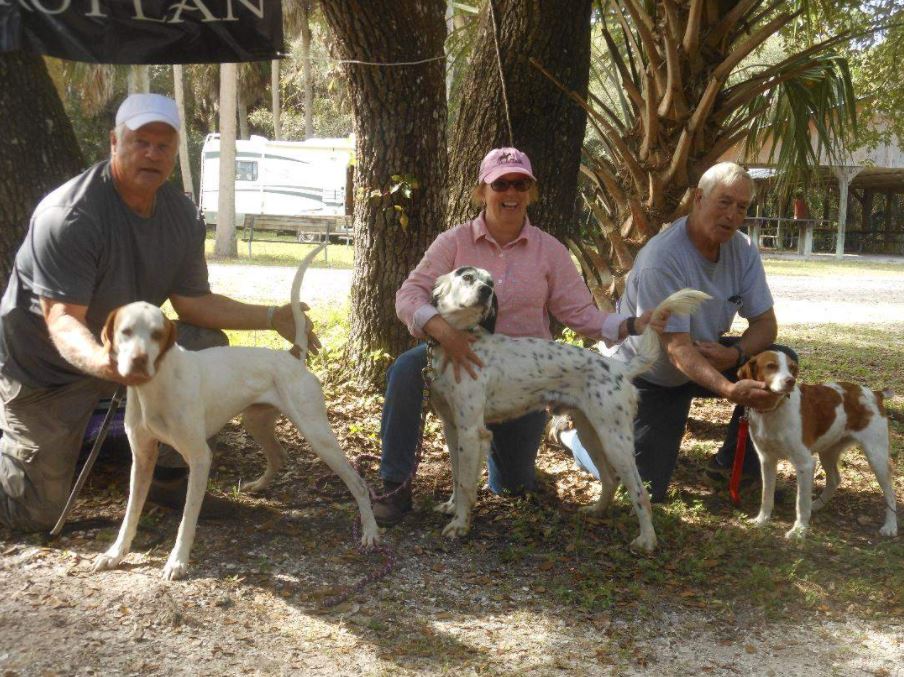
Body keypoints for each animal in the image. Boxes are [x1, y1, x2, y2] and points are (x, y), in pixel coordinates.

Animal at [94, 246, 382, 580]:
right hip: (255, 422)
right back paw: (258, 486)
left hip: (317, 435)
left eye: (156, 333)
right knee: (279, 456)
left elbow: (187, 520)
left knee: (358, 483)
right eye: (124, 331)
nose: (138, 361)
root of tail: (291, 355)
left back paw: (370, 532)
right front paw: (115, 554)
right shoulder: (141, 458)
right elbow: (130, 515)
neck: (156, 387)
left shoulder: (200, 458)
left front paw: (177, 561)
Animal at [428, 264, 708, 548]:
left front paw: (460, 525)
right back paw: (597, 510)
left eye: (491, 283)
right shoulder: (452, 428)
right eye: (467, 277)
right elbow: (456, 475)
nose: (486, 291)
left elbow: (466, 484)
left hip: (615, 441)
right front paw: (451, 507)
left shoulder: (472, 432)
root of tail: (618, 368)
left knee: (640, 492)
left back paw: (647, 539)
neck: (460, 342)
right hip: (590, 433)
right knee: (611, 479)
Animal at [740, 352, 892, 536]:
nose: (791, 381)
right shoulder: (767, 459)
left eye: (792, 368)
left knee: (891, 494)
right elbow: (766, 495)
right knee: (835, 480)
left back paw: (891, 526)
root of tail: (875, 394)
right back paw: (817, 505)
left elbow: (801, 502)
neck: (773, 411)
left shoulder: (805, 464)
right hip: (828, 453)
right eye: (771, 366)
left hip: (876, 457)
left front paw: (799, 530)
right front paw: (762, 520)